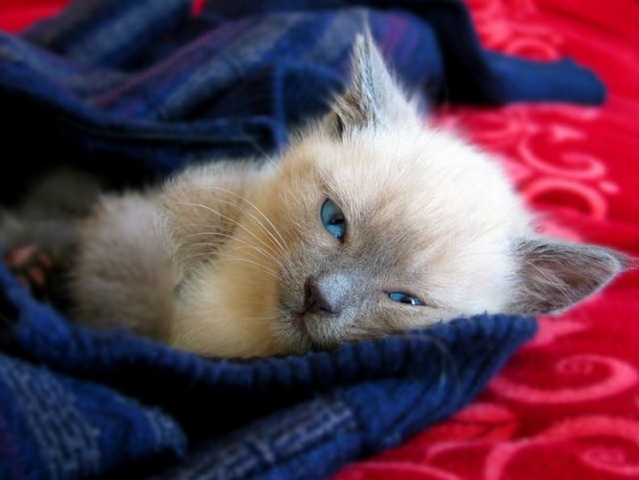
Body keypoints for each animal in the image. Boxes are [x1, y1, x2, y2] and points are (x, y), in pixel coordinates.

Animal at [3, 31, 626, 358]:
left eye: (405, 301)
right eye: (333, 220)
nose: (319, 297)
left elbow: (132, 319)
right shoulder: (224, 188)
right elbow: (179, 212)